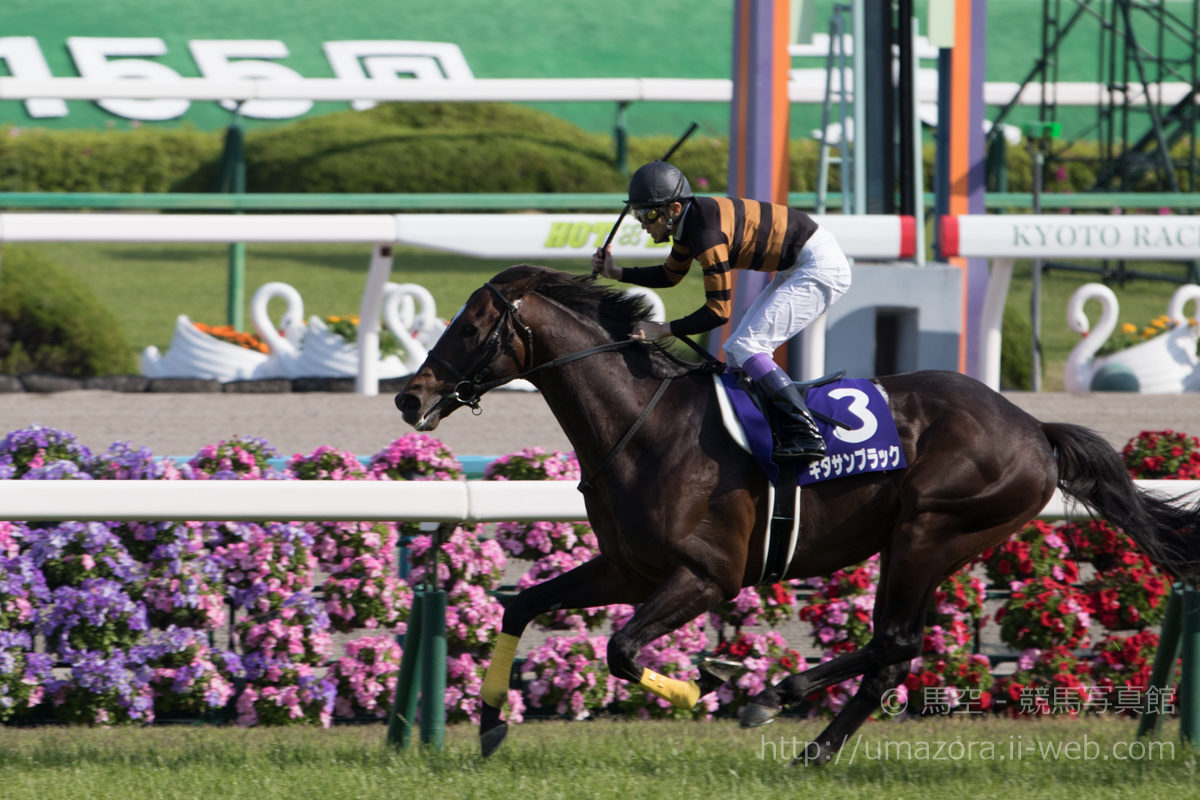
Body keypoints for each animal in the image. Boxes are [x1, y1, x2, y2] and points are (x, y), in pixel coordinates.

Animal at [394, 264, 1200, 764]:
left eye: (469, 327)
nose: (409, 396)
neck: (645, 425)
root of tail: (1034, 427)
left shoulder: (706, 576)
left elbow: (621, 649)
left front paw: (707, 683)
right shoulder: (629, 568)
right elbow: (521, 605)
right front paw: (491, 722)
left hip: (930, 532)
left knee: (894, 643)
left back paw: (776, 697)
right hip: (922, 543)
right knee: (891, 655)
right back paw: (812, 745)